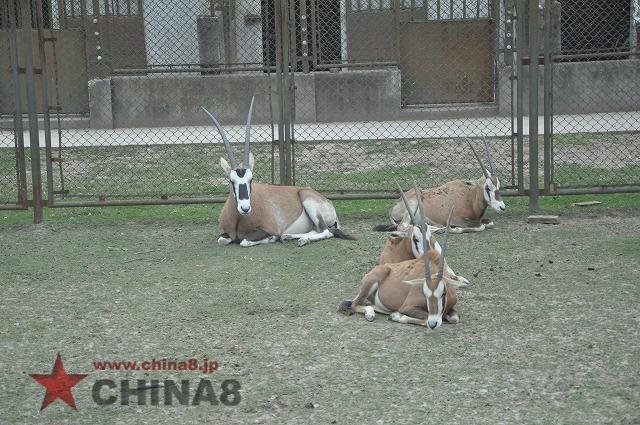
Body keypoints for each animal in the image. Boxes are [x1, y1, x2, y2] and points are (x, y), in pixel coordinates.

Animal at [202, 97, 352, 247]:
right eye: (231, 180)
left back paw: (301, 240)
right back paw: (288, 236)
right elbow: (221, 240)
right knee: (317, 230)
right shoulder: (226, 234)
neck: (239, 218)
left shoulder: (268, 229)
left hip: (309, 204)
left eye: (251, 179)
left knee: (326, 231)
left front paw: (272, 238)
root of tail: (327, 201)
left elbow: (244, 241)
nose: (245, 208)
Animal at [342, 185, 462, 328]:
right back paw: (371, 314)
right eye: (415, 238)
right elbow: (424, 319)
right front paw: (396, 316)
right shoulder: (408, 307)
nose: (427, 254)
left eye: (443, 293)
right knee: (354, 304)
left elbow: (454, 319)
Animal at [376, 140, 504, 232]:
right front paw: (455, 229)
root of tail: (394, 206)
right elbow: (480, 226)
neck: (470, 198)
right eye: (487, 187)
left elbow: (489, 223)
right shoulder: (455, 218)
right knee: (402, 226)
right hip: (411, 208)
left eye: (498, 186)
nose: (502, 207)